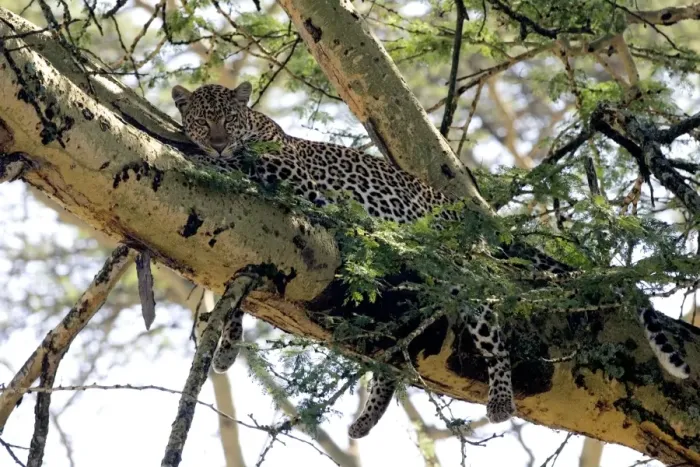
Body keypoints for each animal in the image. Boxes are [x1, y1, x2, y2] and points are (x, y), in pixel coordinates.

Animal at [173, 82, 690, 438]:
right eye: (202, 121)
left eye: (228, 120)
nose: (215, 142)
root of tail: (460, 212)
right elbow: (232, 289)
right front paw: (227, 346)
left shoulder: (286, 174)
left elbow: (240, 166)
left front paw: (203, 156)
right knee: (392, 355)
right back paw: (366, 420)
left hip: (456, 272)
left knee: (490, 322)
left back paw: (501, 399)